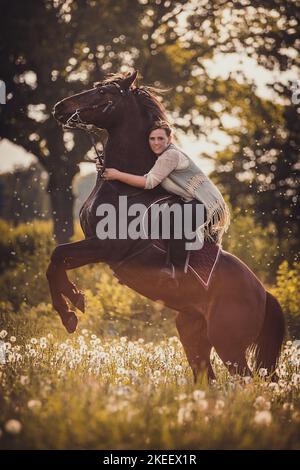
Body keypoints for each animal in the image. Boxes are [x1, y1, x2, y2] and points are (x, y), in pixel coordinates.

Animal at [48, 70, 284, 382]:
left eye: (104, 93)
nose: (59, 107)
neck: (125, 189)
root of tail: (263, 294)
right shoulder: (95, 247)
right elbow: (55, 262)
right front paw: (71, 306)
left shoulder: (104, 247)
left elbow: (58, 255)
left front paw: (72, 308)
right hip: (192, 331)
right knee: (207, 377)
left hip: (228, 344)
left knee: (246, 380)